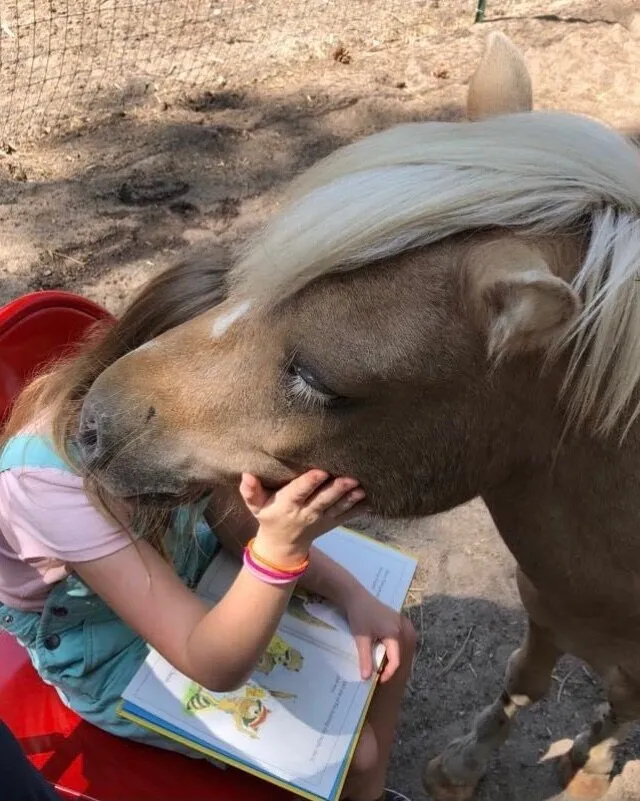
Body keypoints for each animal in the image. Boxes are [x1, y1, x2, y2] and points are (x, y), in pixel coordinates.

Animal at [75, 31, 640, 801]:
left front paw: (590, 768)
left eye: (318, 378)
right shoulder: (545, 602)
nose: (92, 425)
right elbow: (523, 680)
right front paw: (464, 767)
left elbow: (612, 711)